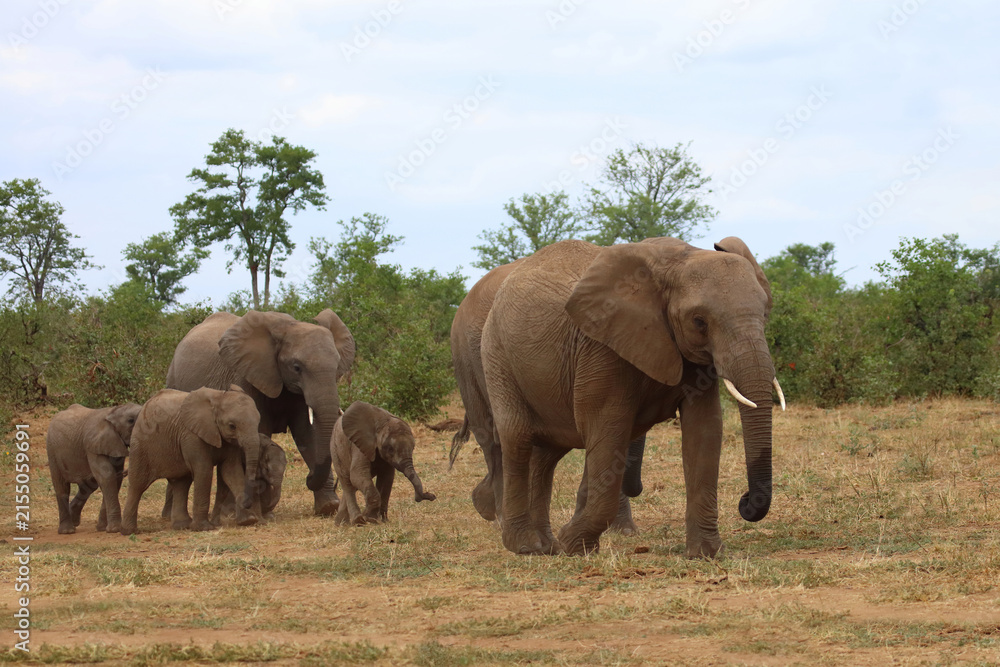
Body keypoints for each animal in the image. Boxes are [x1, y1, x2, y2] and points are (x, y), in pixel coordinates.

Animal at [45, 403, 141, 534]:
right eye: (131, 421)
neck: (113, 411)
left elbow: (115, 477)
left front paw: (102, 528)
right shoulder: (91, 444)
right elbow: (107, 475)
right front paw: (114, 529)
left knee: (88, 486)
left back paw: (74, 521)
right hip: (52, 451)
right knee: (62, 487)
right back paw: (67, 531)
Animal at [121, 386, 263, 534]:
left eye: (258, 423)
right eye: (232, 426)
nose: (247, 503)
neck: (218, 397)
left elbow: (232, 471)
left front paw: (249, 520)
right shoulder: (192, 435)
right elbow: (204, 471)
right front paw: (204, 528)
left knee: (181, 483)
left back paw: (182, 525)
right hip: (140, 444)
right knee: (138, 484)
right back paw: (129, 531)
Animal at [165, 309, 354, 516]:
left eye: (337, 366)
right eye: (296, 367)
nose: (308, 477)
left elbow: (307, 433)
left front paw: (329, 507)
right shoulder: (246, 375)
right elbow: (259, 431)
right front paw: (260, 511)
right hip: (173, 380)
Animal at [480, 237, 785, 557]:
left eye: (765, 313)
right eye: (699, 321)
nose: (745, 500)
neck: (679, 260)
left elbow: (705, 431)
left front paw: (706, 554)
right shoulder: (601, 347)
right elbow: (607, 427)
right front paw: (574, 544)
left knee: (547, 453)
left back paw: (547, 546)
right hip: (497, 355)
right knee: (517, 439)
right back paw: (526, 546)